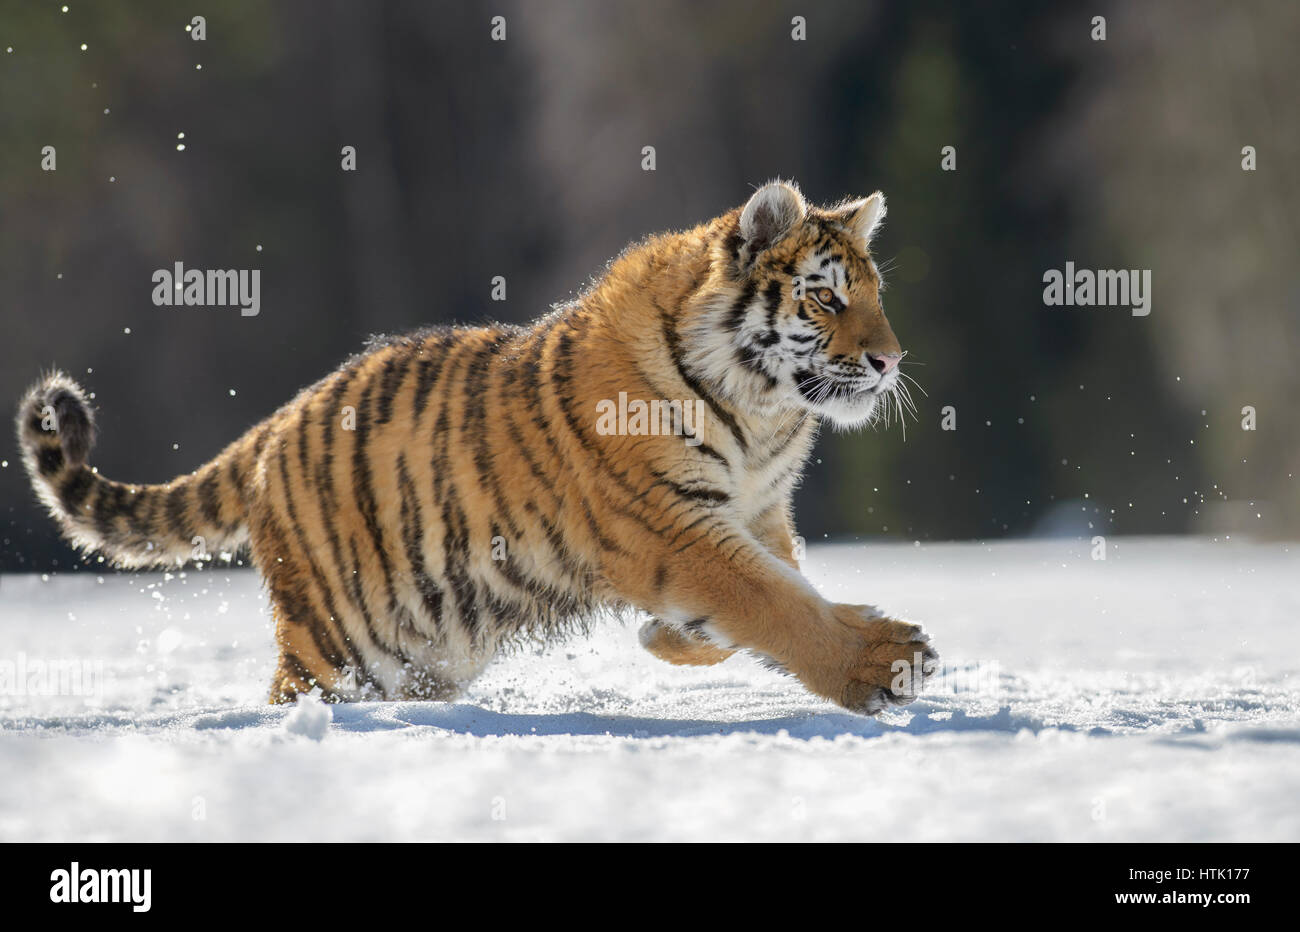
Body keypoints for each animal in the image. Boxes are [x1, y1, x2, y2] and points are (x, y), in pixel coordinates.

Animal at [17, 180, 938, 714]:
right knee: (293, 692)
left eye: (877, 295)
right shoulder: (668, 527)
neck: (761, 412)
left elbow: (782, 585)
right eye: (826, 297)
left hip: (421, 641)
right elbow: (774, 601)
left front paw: (668, 639)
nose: (892, 360)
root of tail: (274, 426)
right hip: (333, 641)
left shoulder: (756, 510)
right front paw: (883, 663)